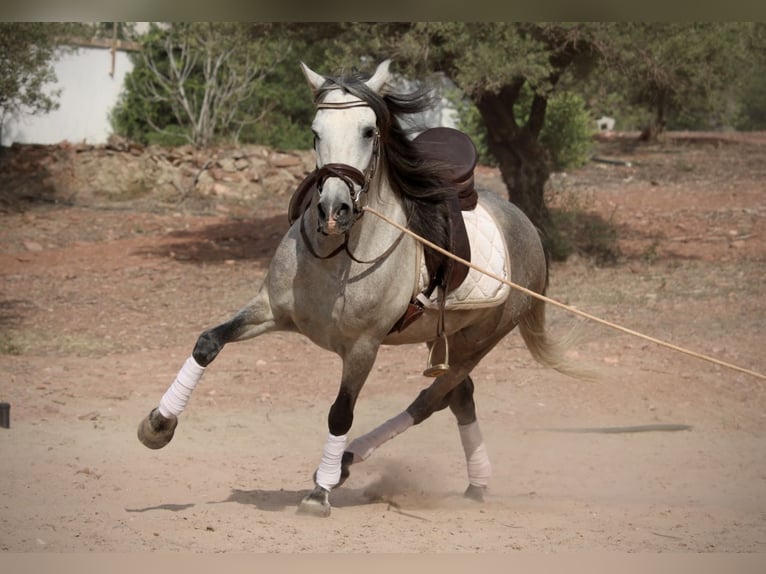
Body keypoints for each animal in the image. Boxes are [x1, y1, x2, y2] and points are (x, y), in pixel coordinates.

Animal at [138, 58, 584, 516]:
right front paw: (158, 425)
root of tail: (528, 228)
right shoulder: (270, 311)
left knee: (432, 399)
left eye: (369, 131)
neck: (336, 257)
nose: (334, 210)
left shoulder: (363, 347)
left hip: (478, 342)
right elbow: (208, 342)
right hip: (446, 338)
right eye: (315, 131)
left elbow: (340, 413)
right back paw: (472, 484)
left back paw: (350, 462)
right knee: (459, 398)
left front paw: (320, 492)